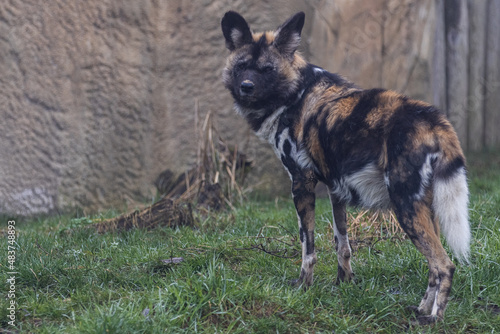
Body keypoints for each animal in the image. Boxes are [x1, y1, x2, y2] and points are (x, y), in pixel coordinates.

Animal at [221, 11, 470, 324]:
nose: (246, 87)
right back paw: (422, 309)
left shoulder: (301, 184)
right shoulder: (335, 188)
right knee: (433, 267)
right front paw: (344, 284)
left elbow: (308, 247)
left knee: (444, 264)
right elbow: (342, 244)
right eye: (242, 66)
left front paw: (303, 286)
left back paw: (433, 319)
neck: (293, 95)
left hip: (405, 207)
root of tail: (434, 119)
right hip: (424, 207)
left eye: (267, 70)